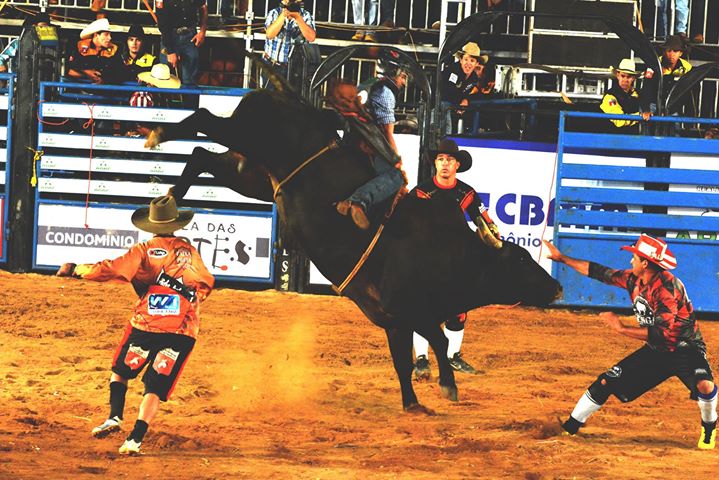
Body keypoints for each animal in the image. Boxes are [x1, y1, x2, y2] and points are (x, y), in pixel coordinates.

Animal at [145, 60, 564, 412]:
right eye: (522, 260)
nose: (558, 288)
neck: (451, 253)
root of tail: (289, 96)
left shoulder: (402, 317)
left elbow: (413, 355)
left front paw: (423, 399)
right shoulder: (407, 310)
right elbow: (430, 345)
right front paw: (439, 390)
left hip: (251, 175)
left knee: (201, 154)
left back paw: (170, 196)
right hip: (248, 137)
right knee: (203, 119)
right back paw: (158, 136)